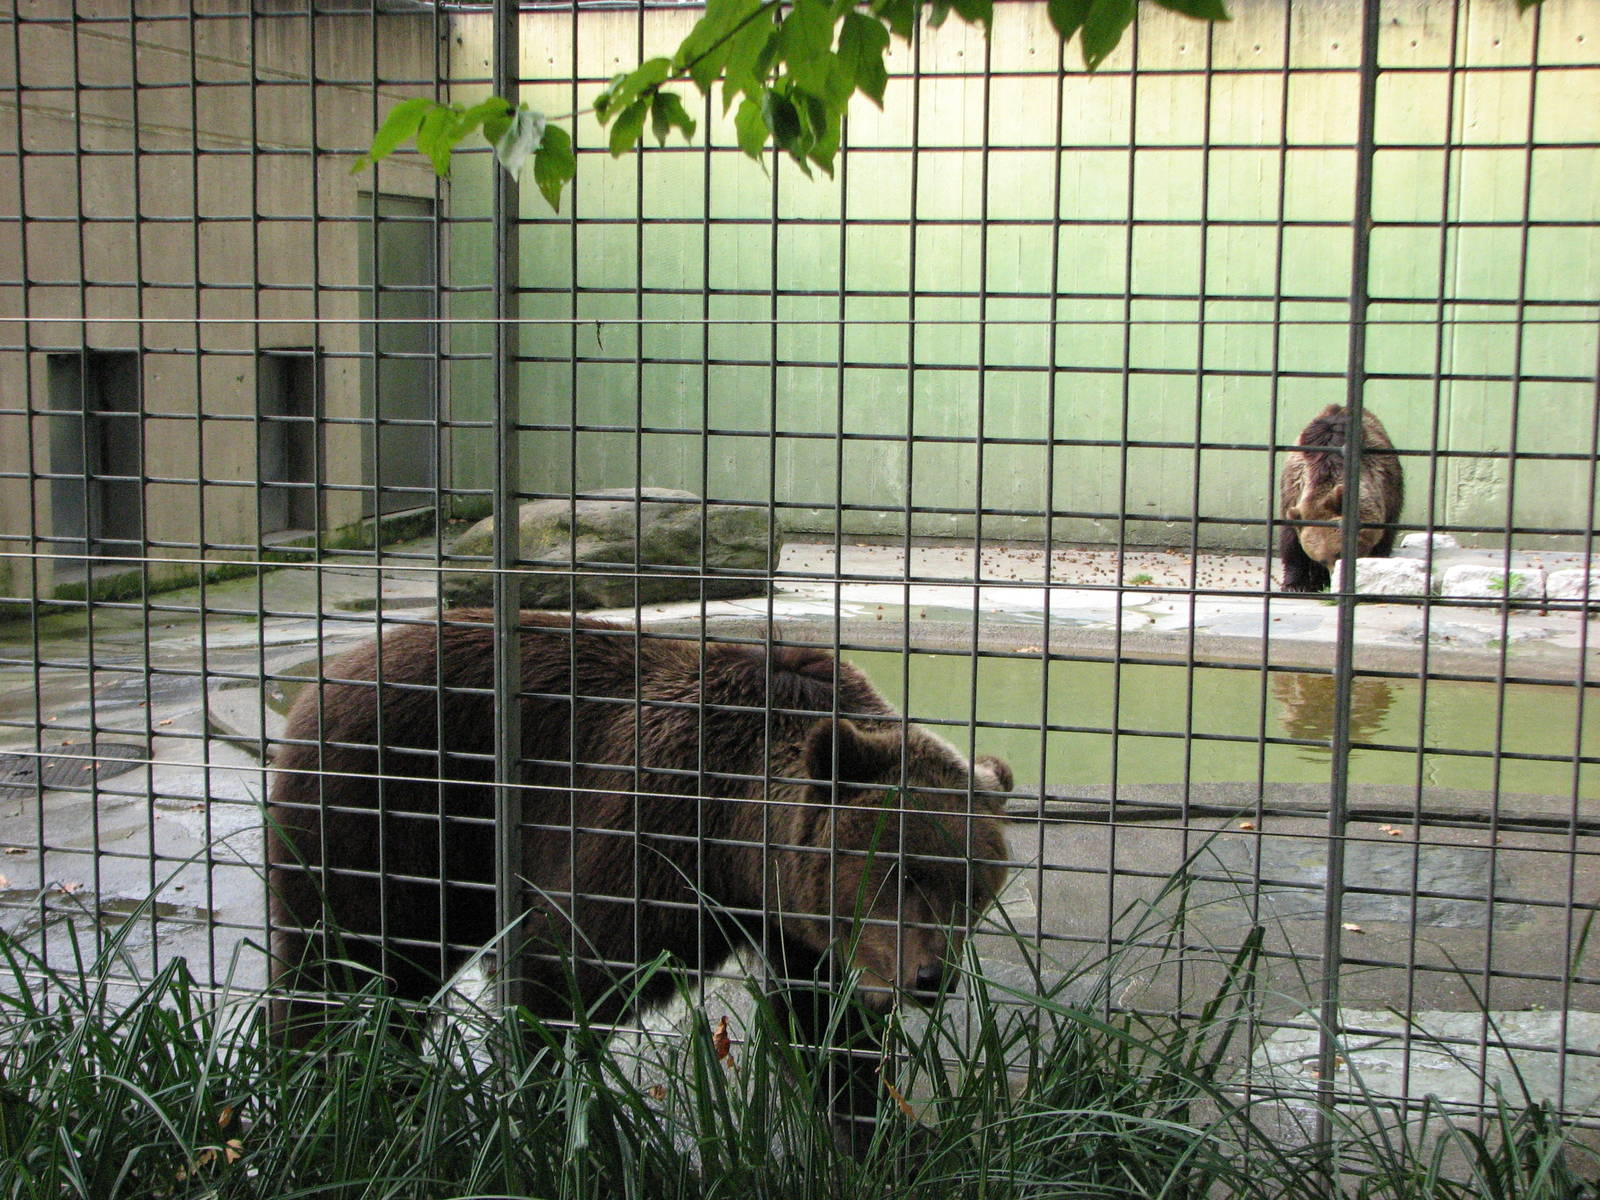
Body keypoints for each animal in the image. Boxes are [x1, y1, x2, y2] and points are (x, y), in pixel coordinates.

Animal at [266, 609, 1013, 1128]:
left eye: (970, 889)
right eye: (901, 871)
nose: (930, 977)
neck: (738, 842)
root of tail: (326, 677)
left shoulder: (798, 925)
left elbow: (827, 1028)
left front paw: (878, 1126)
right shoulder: (653, 838)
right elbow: (560, 973)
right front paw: (542, 1106)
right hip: (389, 807)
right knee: (349, 961)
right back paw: (319, 1083)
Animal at [1278, 404, 1404, 593]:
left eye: (1340, 554)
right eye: (1322, 560)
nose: (1335, 580)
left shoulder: (1387, 490)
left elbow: (1385, 536)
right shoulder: (1292, 490)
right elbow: (1291, 543)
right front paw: (1295, 584)